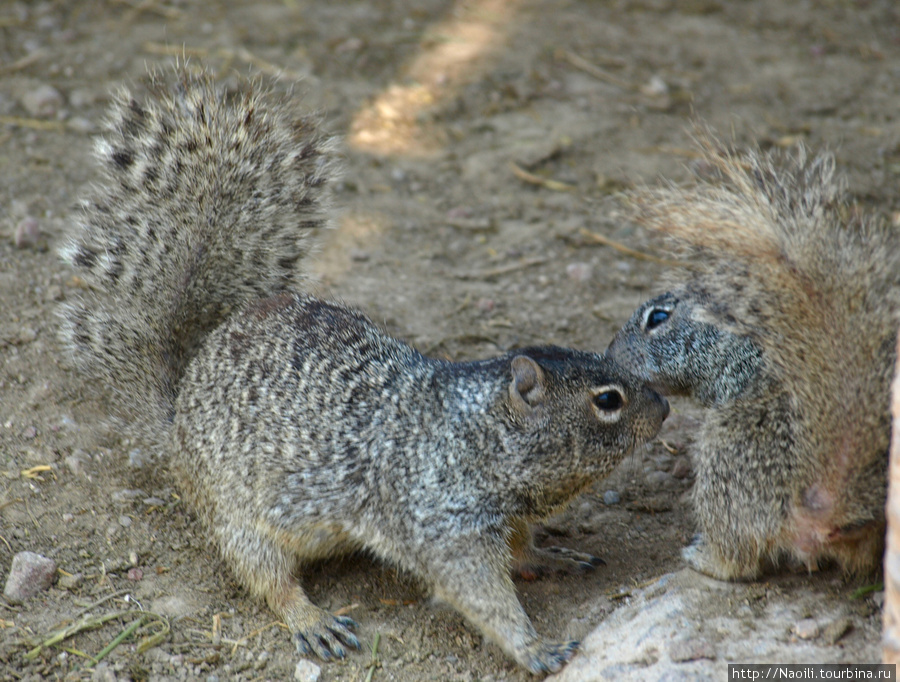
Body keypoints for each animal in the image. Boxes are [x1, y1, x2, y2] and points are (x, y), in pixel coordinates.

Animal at [59, 66, 668, 672]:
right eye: (607, 399)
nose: (663, 408)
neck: (477, 437)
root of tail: (182, 403)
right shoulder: (444, 526)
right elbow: (480, 595)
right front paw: (536, 648)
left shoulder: (508, 518)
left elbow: (522, 551)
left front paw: (554, 556)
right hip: (238, 520)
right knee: (268, 580)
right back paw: (313, 621)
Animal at [608, 133, 896, 580]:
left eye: (658, 317)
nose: (609, 354)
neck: (738, 337)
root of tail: (824, 497)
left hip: (726, 456)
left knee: (739, 557)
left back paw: (703, 556)